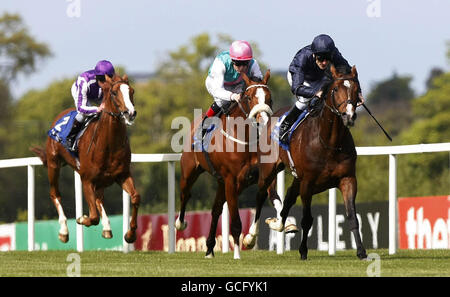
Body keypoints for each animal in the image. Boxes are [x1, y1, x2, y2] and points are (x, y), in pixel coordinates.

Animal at [30, 74, 139, 243]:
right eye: (114, 93)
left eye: (131, 91)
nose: (130, 113)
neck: (108, 144)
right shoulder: (87, 180)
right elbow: (93, 217)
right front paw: (82, 218)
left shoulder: (122, 175)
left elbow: (135, 197)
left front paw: (130, 234)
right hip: (54, 164)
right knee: (55, 194)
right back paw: (63, 231)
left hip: (101, 181)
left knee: (99, 199)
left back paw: (107, 228)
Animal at [175, 70, 274, 258]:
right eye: (249, 97)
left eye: (269, 97)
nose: (263, 121)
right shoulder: (231, 180)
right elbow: (235, 221)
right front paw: (237, 255)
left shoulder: (256, 177)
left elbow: (260, 199)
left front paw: (250, 238)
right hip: (190, 171)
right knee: (185, 194)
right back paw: (180, 223)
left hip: (223, 182)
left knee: (216, 209)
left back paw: (209, 248)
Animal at [255, 65, 368, 260]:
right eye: (336, 89)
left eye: (356, 89)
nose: (349, 115)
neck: (330, 142)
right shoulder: (308, 183)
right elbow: (307, 220)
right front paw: (303, 251)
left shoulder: (347, 179)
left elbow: (353, 216)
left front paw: (361, 251)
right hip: (268, 171)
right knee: (262, 194)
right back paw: (250, 236)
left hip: (297, 177)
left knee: (289, 196)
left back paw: (280, 224)